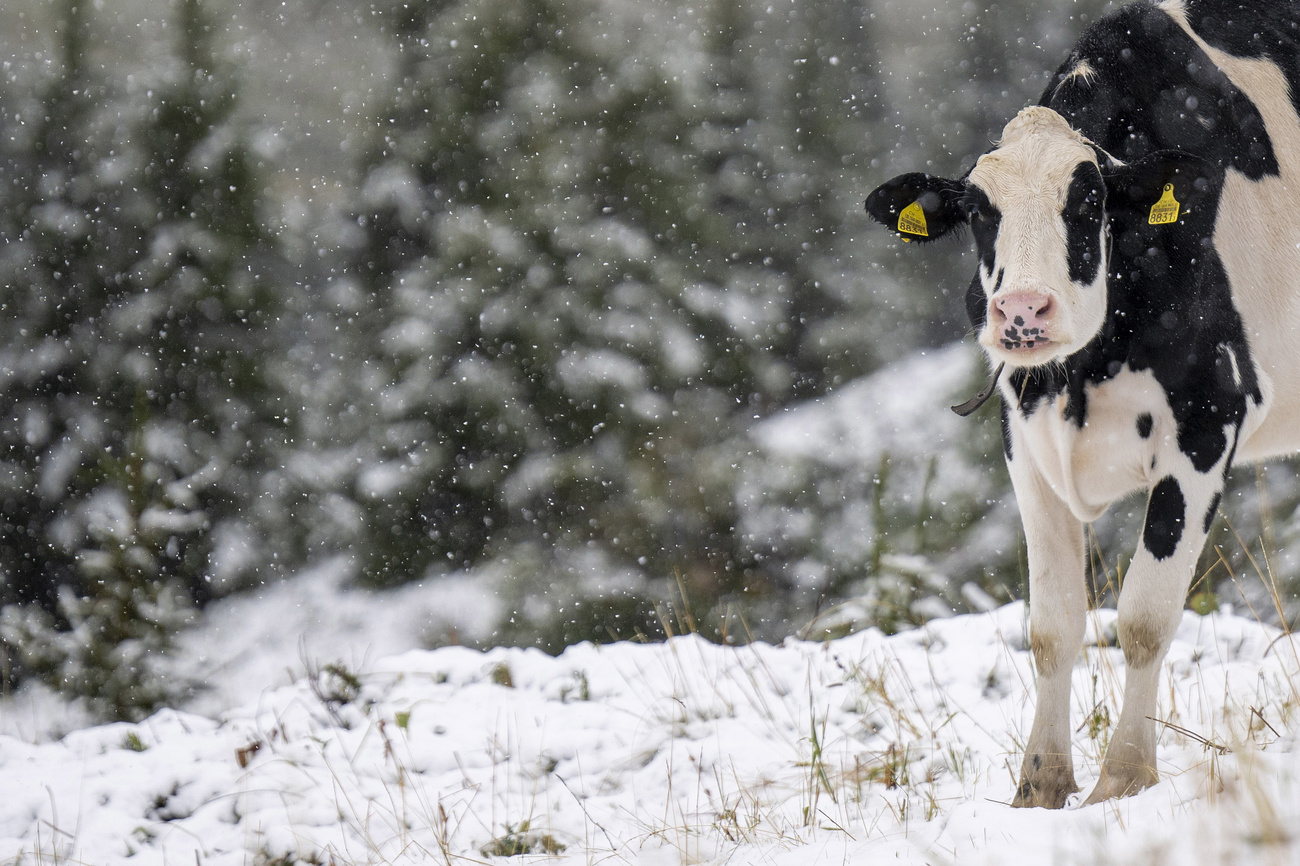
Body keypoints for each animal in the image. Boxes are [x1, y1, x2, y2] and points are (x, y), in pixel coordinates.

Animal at [865, 0, 1300, 808]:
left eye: (1090, 198)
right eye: (979, 211)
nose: (1022, 310)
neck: (1084, 374)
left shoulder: (1208, 420)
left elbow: (1145, 616)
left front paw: (1123, 779)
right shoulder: (1023, 437)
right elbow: (1053, 624)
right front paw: (1039, 785)